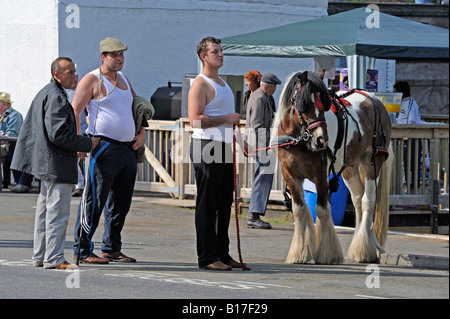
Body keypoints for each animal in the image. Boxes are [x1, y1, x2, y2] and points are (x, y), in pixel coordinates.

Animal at [270, 72, 394, 264]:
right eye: (303, 104)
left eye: (324, 106)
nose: (321, 140)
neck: (300, 141)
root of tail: (375, 100)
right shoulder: (290, 175)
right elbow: (299, 209)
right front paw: (300, 253)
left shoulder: (321, 174)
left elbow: (322, 209)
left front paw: (328, 254)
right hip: (349, 168)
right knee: (358, 200)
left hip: (373, 161)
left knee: (368, 200)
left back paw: (365, 250)